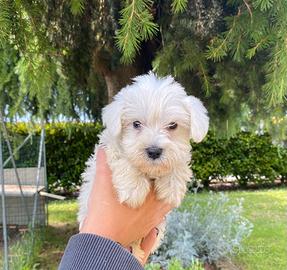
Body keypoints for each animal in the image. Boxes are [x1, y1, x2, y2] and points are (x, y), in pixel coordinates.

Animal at [78, 72, 209, 262]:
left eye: (173, 125)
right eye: (136, 124)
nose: (154, 151)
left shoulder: (179, 154)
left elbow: (179, 162)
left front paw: (172, 188)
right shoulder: (109, 147)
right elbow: (123, 157)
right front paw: (133, 189)